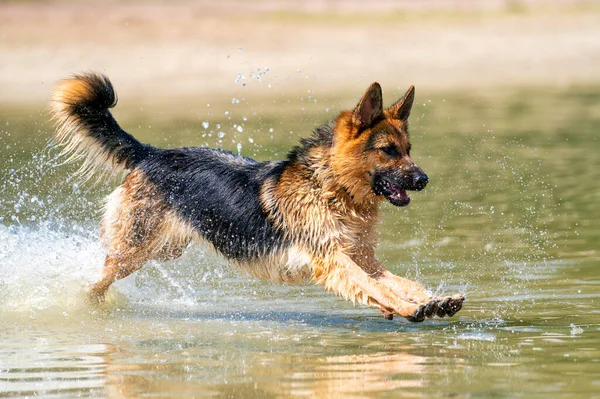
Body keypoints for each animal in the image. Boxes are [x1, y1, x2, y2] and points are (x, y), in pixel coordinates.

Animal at [50, 72, 464, 322]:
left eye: (408, 149)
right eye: (388, 151)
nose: (424, 179)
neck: (331, 189)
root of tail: (150, 152)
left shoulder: (362, 257)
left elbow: (398, 281)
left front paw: (430, 300)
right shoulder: (333, 260)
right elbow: (376, 287)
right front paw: (409, 307)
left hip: (164, 249)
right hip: (135, 250)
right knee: (98, 279)